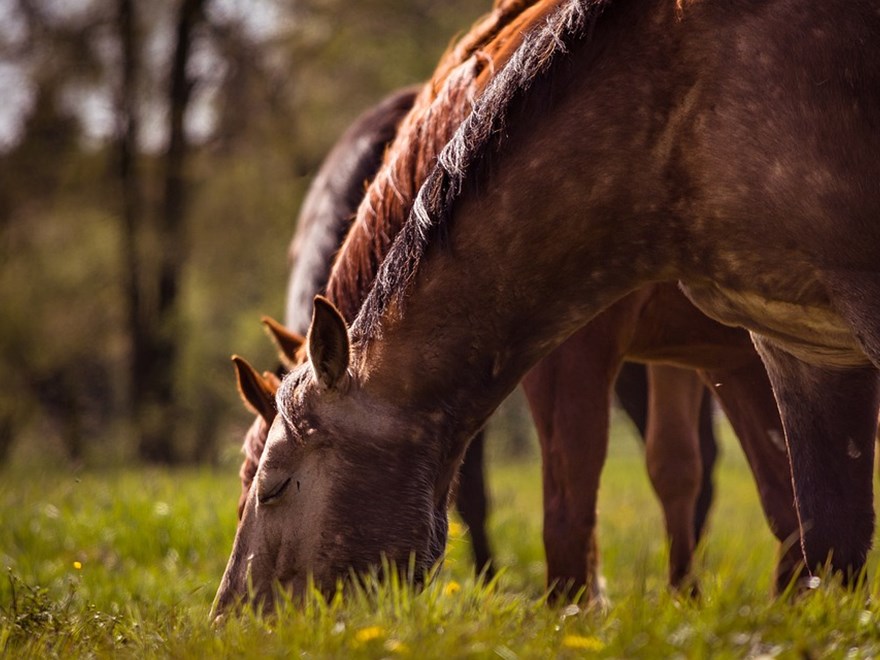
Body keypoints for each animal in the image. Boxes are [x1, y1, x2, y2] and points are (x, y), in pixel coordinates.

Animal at [213, 0, 880, 620]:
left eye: (272, 489)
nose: (230, 618)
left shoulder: (586, 349)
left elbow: (571, 503)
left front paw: (572, 612)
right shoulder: (745, 349)